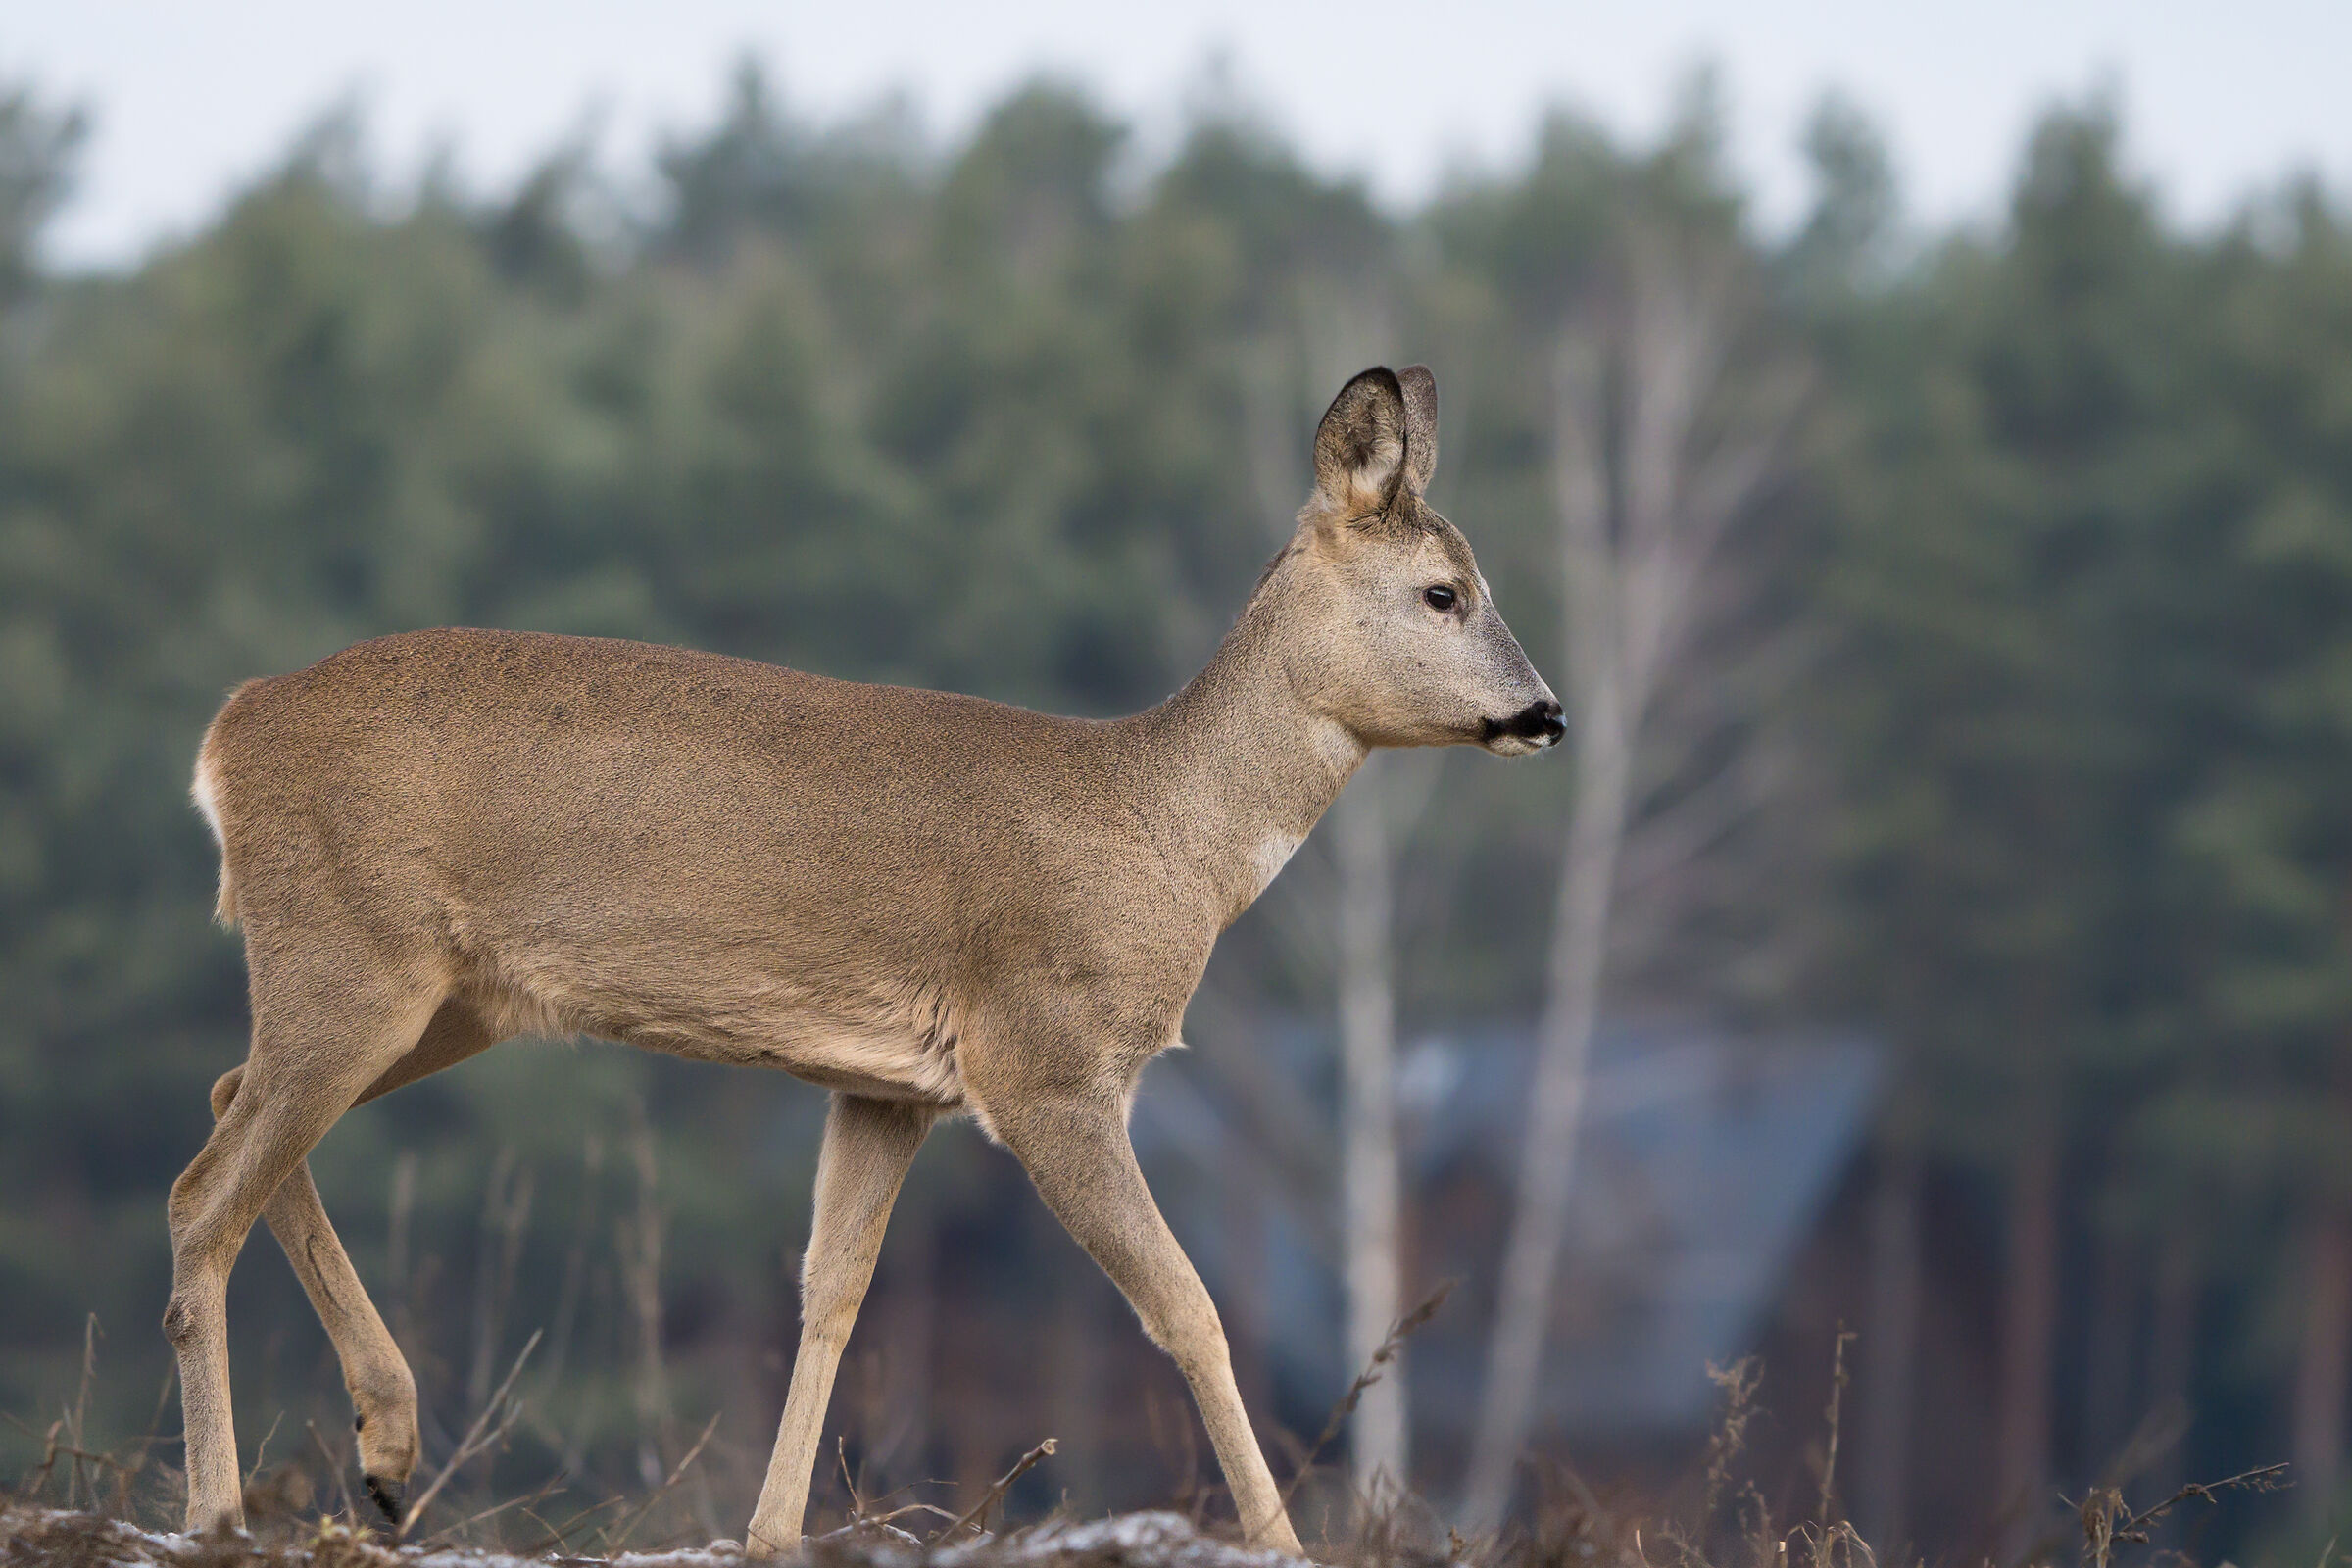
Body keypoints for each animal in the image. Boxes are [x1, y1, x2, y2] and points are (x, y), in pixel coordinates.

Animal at [167, 363, 1563, 1554]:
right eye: (1445, 591)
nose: (1547, 711)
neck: (1170, 834)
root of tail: (230, 728)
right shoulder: (1048, 1062)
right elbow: (1189, 1308)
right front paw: (1281, 1540)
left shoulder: (887, 1087)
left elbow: (830, 1291)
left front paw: (773, 1530)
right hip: (350, 955)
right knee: (202, 1195)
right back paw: (221, 1508)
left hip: (442, 996)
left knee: (228, 1104)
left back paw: (387, 1446)